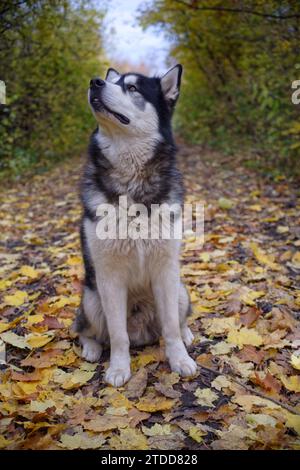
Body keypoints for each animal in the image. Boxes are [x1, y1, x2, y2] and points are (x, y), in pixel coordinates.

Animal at [73, 64, 197, 386]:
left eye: (131, 88)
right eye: (113, 81)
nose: (95, 82)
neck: (132, 183)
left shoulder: (166, 271)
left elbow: (171, 326)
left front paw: (180, 359)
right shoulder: (109, 276)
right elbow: (118, 335)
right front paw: (118, 368)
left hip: (180, 289)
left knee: (177, 321)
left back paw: (187, 334)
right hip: (91, 298)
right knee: (84, 330)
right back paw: (91, 348)